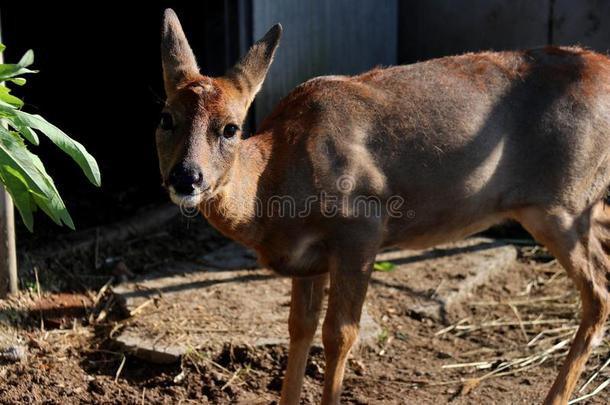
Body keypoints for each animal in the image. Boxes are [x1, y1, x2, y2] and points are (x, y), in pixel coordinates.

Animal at [157, 7, 608, 404]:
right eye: (165, 118)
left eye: (231, 128)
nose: (186, 177)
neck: (274, 184)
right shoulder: (308, 261)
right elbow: (299, 328)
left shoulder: (361, 227)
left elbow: (340, 334)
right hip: (584, 205)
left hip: (562, 202)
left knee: (598, 294)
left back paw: (555, 397)